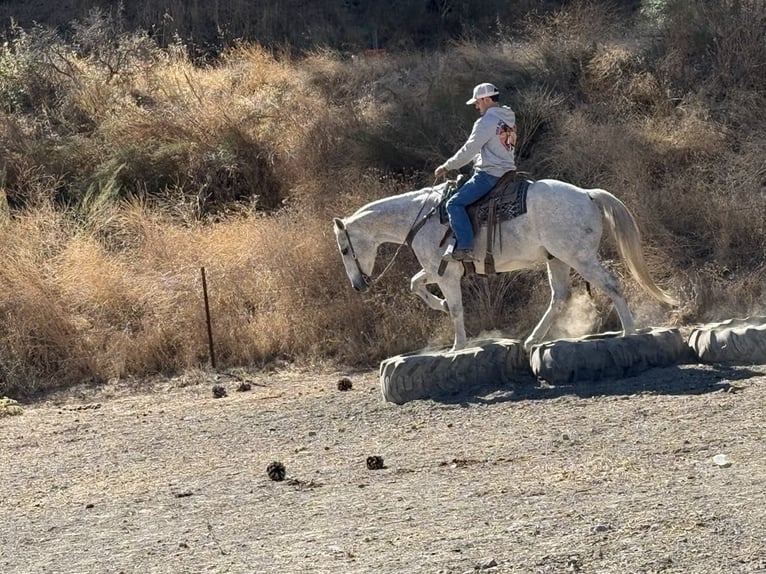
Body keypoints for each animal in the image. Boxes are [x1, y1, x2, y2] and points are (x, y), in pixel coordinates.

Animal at [333, 178, 677, 353]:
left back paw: (629, 331)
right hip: (557, 260)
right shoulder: (437, 269)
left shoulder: (446, 272)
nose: (357, 285)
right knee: (560, 296)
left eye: (345, 249)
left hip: (579, 257)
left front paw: (458, 345)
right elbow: (415, 284)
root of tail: (588, 195)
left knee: (610, 284)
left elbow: (455, 308)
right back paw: (533, 339)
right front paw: (439, 305)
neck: (421, 217)